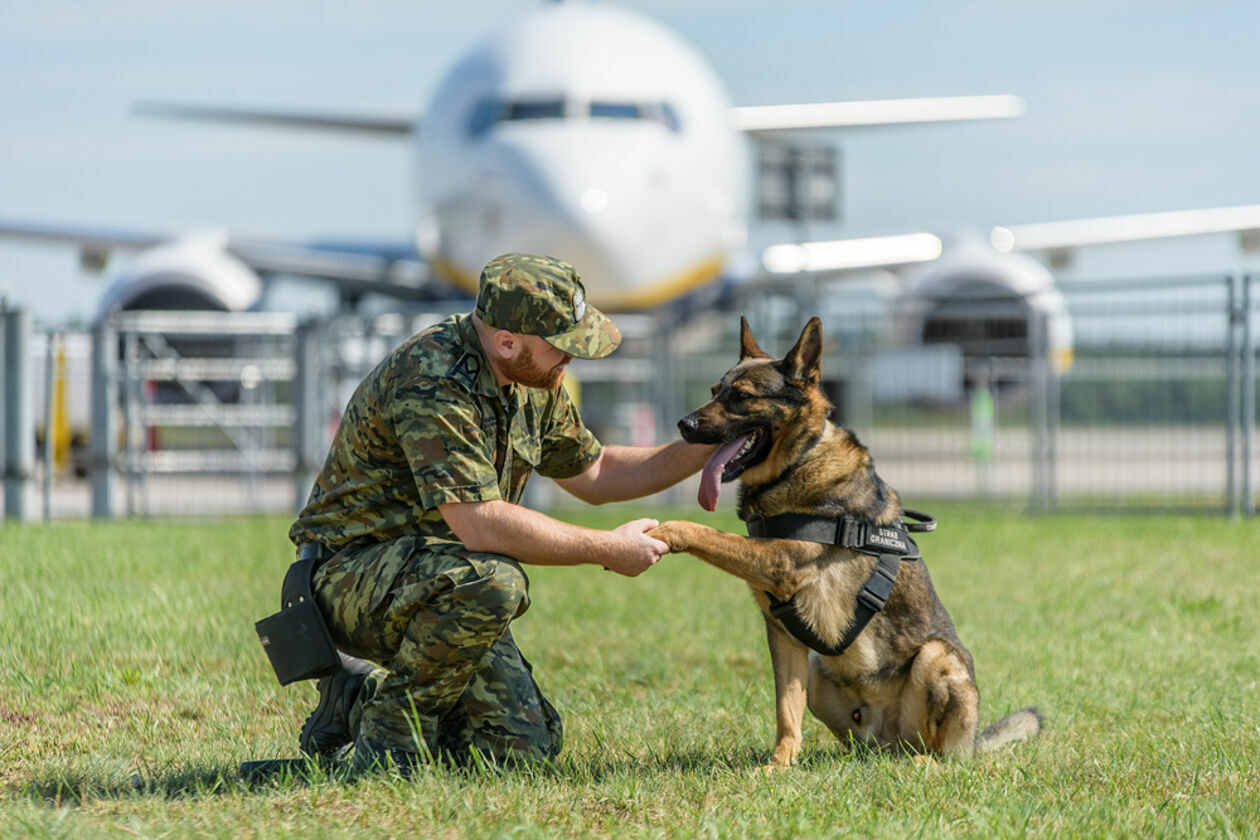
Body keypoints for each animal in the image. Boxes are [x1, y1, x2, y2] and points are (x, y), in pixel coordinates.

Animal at [645, 314, 1038, 770]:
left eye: (741, 397)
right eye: (713, 392)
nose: (683, 426)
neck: (799, 461)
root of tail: (888, 742)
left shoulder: (780, 559)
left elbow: (702, 531)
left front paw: (660, 532)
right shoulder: (785, 635)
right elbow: (786, 708)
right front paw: (780, 765)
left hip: (937, 659)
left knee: (941, 752)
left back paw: (926, 762)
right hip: (821, 672)